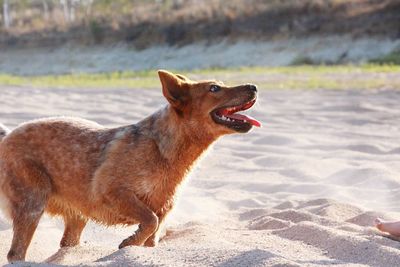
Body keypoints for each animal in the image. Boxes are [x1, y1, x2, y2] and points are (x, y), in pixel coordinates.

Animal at [0, 70, 260, 262]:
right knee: (15, 254)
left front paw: (133, 246)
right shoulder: (113, 193)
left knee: (67, 244)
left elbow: (153, 234)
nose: (254, 86)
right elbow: (149, 220)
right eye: (214, 88)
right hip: (32, 204)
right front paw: (128, 243)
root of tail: (7, 135)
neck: (165, 151)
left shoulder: (163, 209)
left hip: (76, 217)